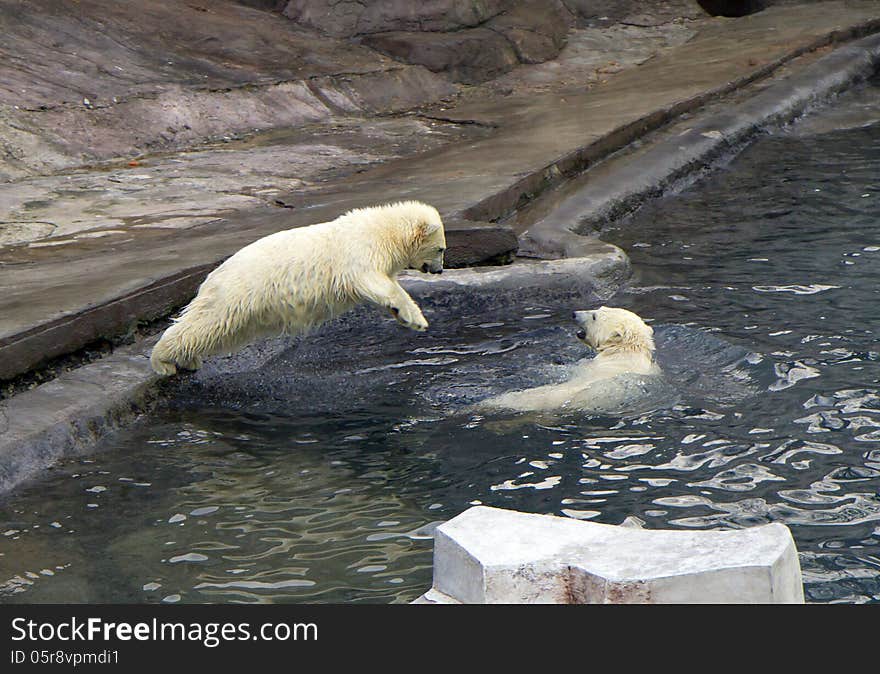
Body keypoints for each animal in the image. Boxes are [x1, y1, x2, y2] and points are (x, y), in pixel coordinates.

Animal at [150, 200, 446, 378]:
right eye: (441, 249)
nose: (439, 270)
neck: (382, 230)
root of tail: (212, 278)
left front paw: (401, 315)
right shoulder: (360, 252)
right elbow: (374, 282)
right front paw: (416, 319)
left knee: (219, 333)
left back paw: (189, 359)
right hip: (237, 295)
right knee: (206, 325)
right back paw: (163, 362)